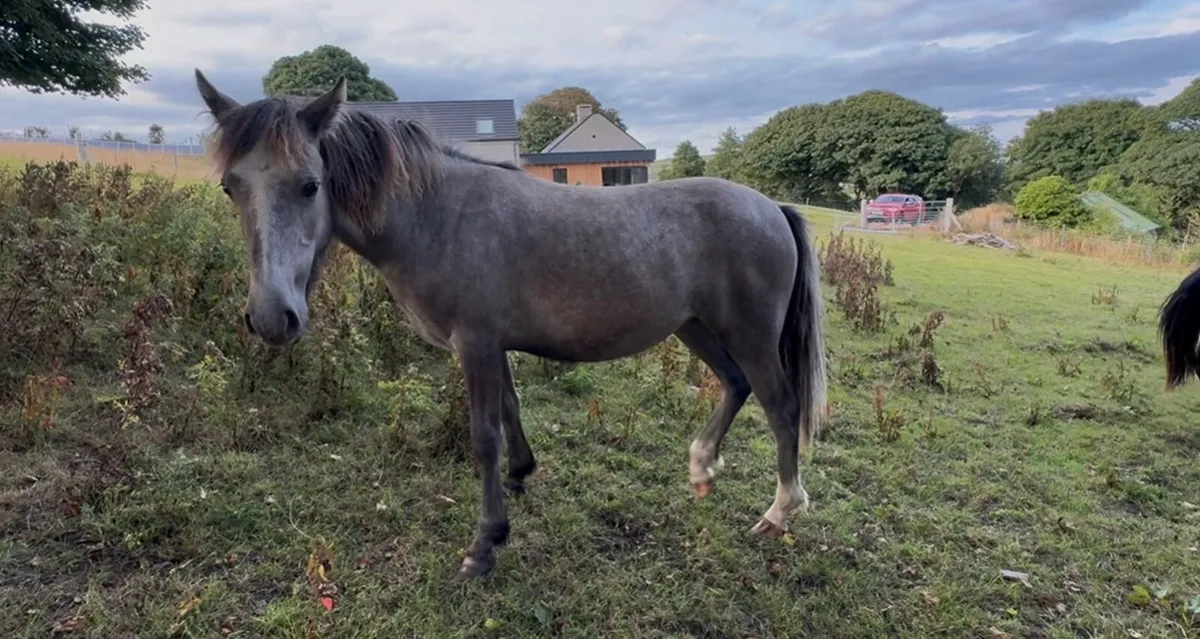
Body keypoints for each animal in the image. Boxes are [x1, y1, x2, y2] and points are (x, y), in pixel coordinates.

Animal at [193, 71, 829, 580]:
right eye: (230, 187)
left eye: (310, 184)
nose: (271, 318)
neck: (437, 217)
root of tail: (771, 207)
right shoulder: (492, 345)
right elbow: (511, 411)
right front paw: (520, 482)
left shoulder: (474, 345)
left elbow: (484, 437)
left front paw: (483, 546)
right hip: (696, 328)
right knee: (736, 385)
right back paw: (701, 467)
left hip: (749, 335)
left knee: (780, 405)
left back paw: (779, 511)